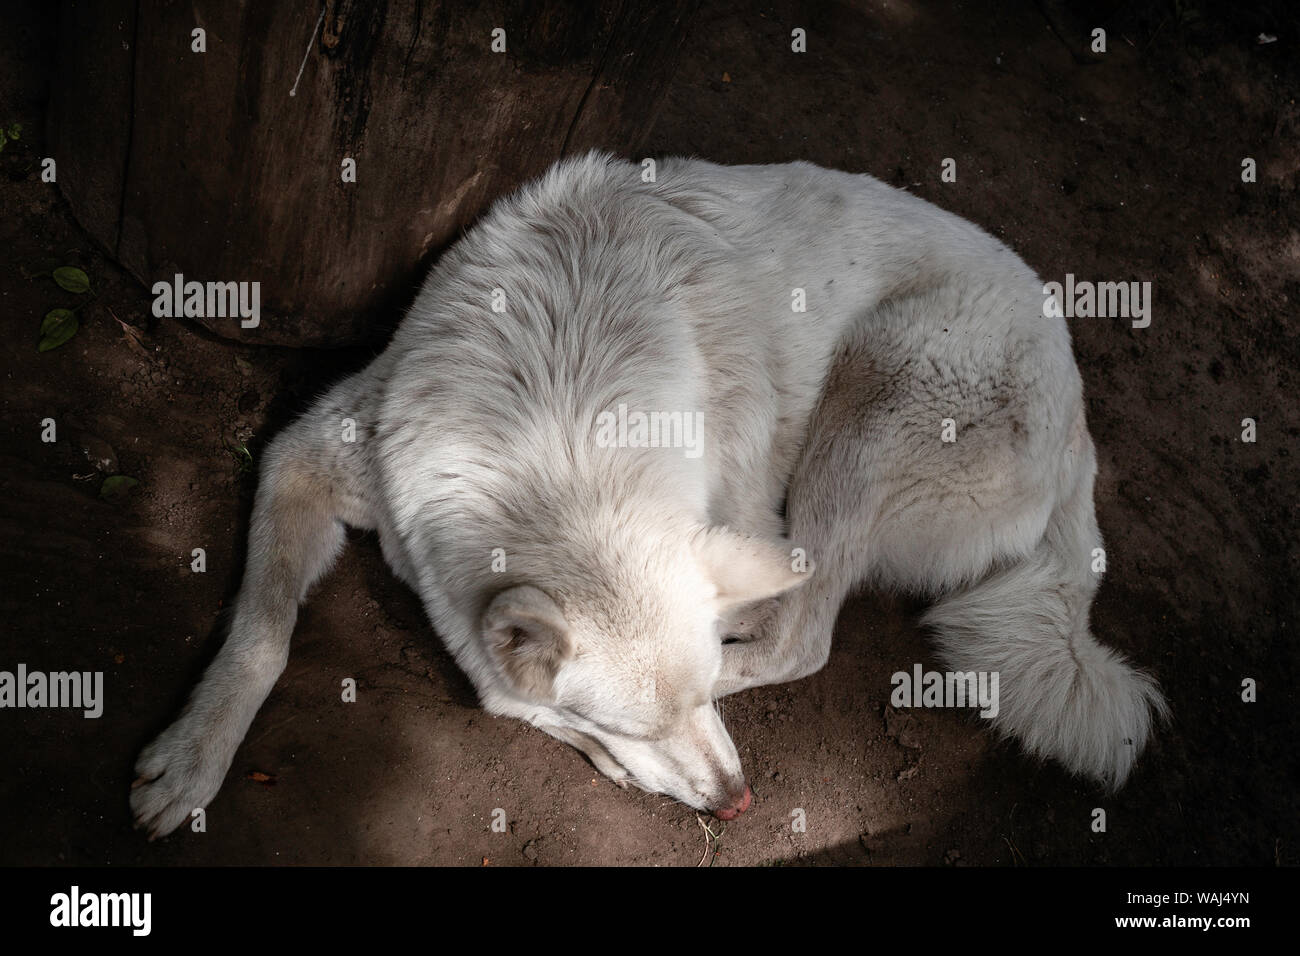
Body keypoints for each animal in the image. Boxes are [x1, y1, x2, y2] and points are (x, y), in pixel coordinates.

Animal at [129, 149, 1170, 837]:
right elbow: (261, 633)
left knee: (804, 642)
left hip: (866, 411)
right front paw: (193, 758)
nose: (737, 803)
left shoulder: (743, 524)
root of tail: (1082, 430)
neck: (554, 412)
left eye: (694, 703)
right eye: (628, 722)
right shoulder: (305, 457)